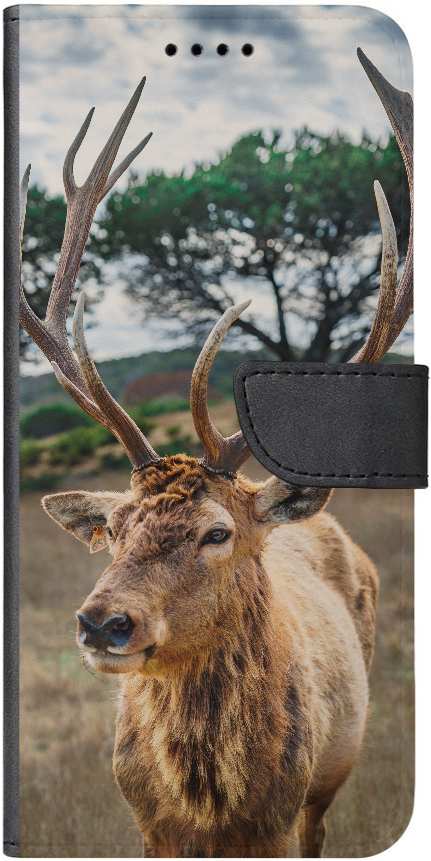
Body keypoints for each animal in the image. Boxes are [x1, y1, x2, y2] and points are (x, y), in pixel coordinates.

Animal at [19, 48, 412, 857]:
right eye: (115, 529)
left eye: (216, 531)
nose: (102, 623)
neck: (211, 808)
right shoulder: (147, 826)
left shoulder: (283, 818)